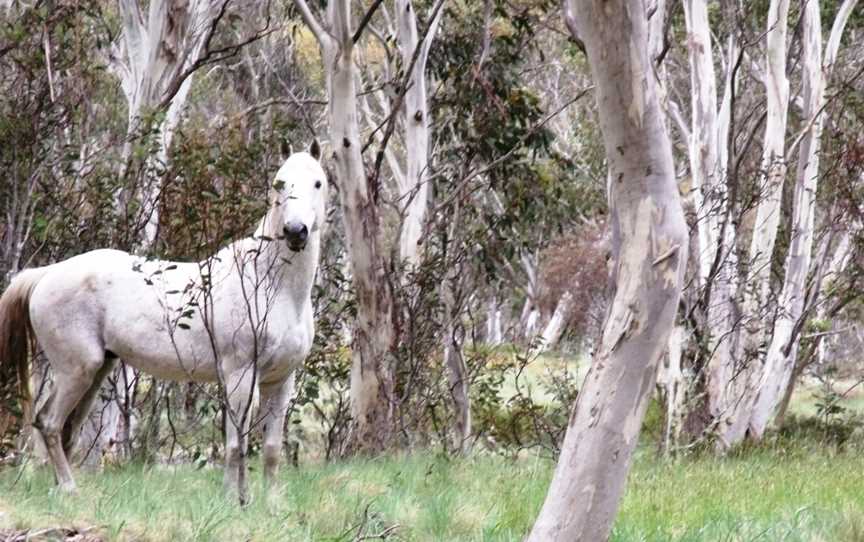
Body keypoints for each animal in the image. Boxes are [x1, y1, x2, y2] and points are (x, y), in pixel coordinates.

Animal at [0, 148, 328, 502]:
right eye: (279, 183)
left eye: (318, 182)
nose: (295, 231)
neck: (269, 283)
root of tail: (46, 273)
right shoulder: (240, 376)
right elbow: (235, 444)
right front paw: (232, 500)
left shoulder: (281, 380)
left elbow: (270, 448)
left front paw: (270, 503)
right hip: (76, 370)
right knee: (48, 423)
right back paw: (70, 488)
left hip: (95, 371)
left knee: (64, 429)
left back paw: (62, 489)